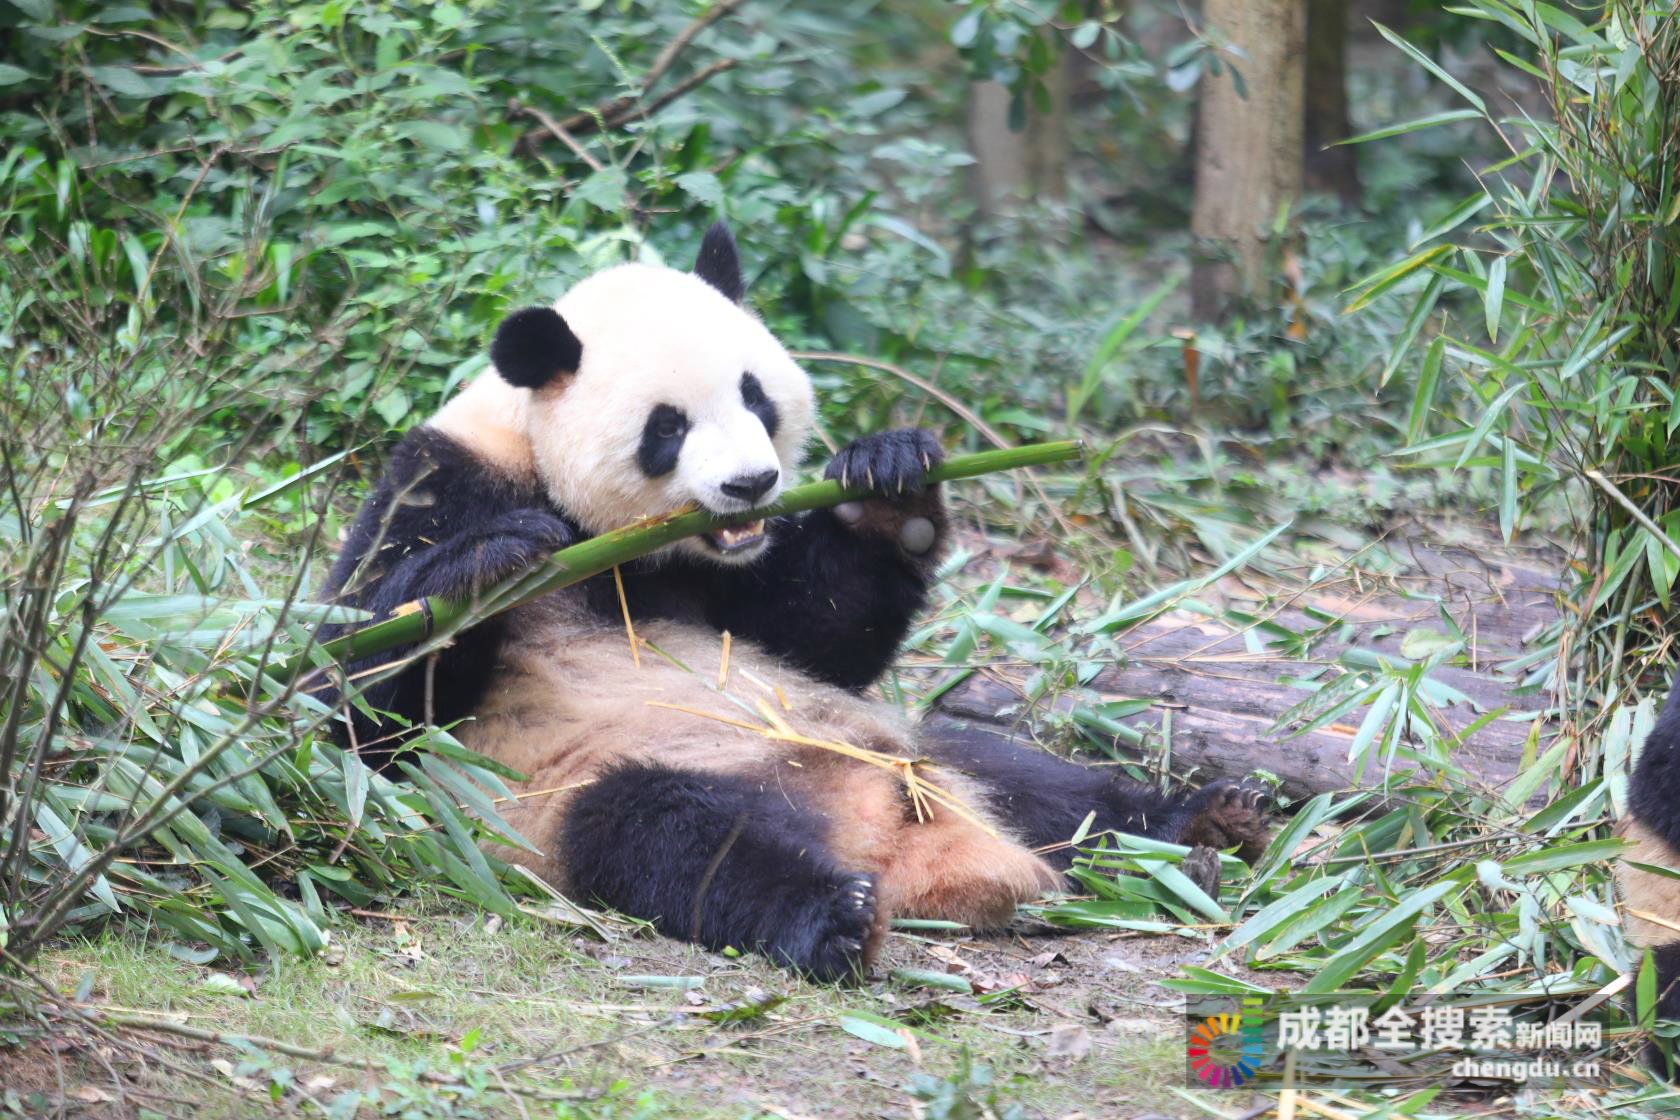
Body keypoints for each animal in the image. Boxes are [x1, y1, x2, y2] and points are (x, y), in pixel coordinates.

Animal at [324, 221, 1270, 980]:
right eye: (666, 427)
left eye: (756, 395)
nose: (753, 484)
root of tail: (906, 847)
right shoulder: (440, 481)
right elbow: (361, 717)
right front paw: (489, 565)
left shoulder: (725, 576)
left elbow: (814, 635)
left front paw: (891, 481)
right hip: (581, 792)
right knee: (675, 839)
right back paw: (834, 918)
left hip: (908, 745)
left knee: (1041, 784)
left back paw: (1202, 822)